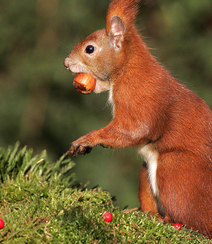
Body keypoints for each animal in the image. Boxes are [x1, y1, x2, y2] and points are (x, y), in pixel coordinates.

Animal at [64, 0, 212, 238]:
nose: (66, 63)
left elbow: (136, 128)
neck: (127, 66)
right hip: (147, 174)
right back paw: (146, 215)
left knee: (194, 222)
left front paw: (88, 139)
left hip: (176, 172)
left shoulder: (136, 93)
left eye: (90, 49)